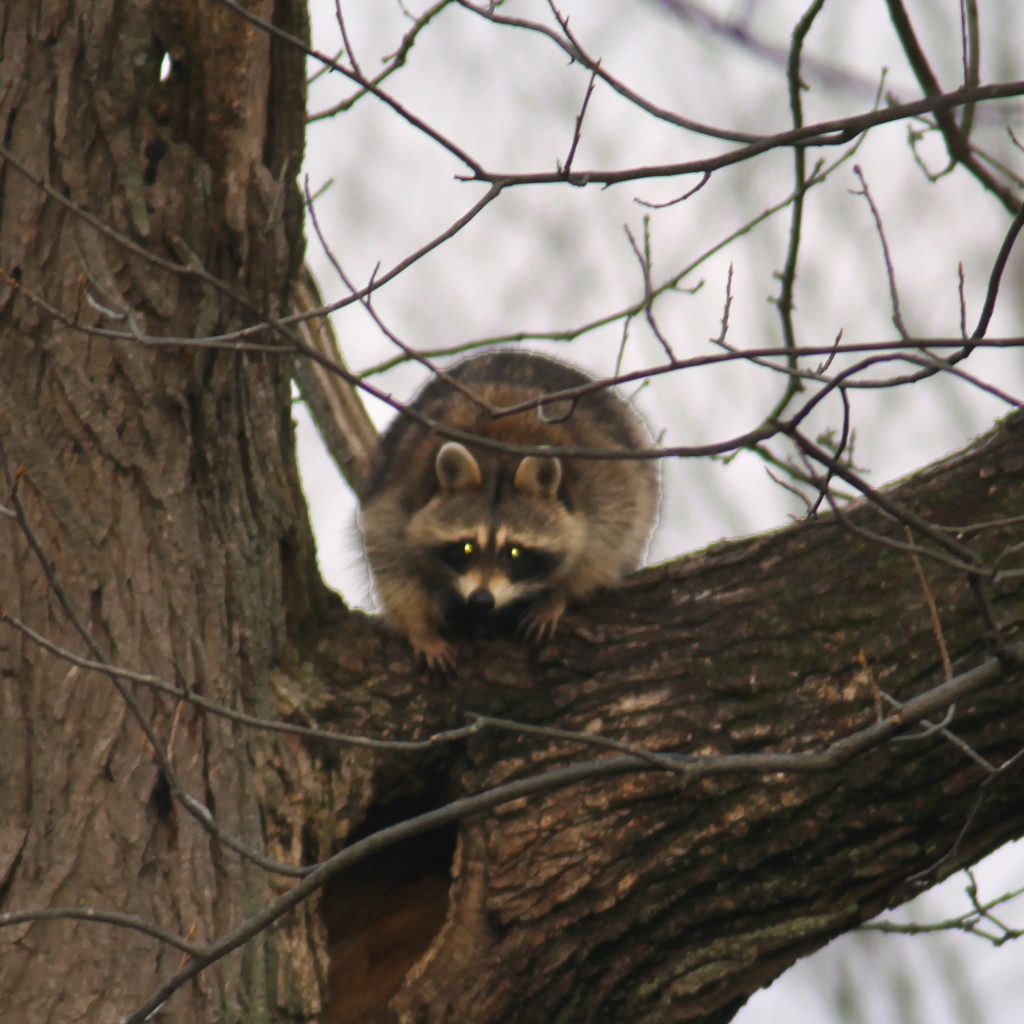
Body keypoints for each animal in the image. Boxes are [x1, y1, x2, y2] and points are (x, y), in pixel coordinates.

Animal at [358, 351, 659, 671]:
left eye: (514, 552)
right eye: (467, 548)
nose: (481, 600)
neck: (500, 455)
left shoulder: (606, 484)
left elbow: (603, 547)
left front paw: (557, 596)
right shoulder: (400, 489)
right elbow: (391, 559)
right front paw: (421, 629)